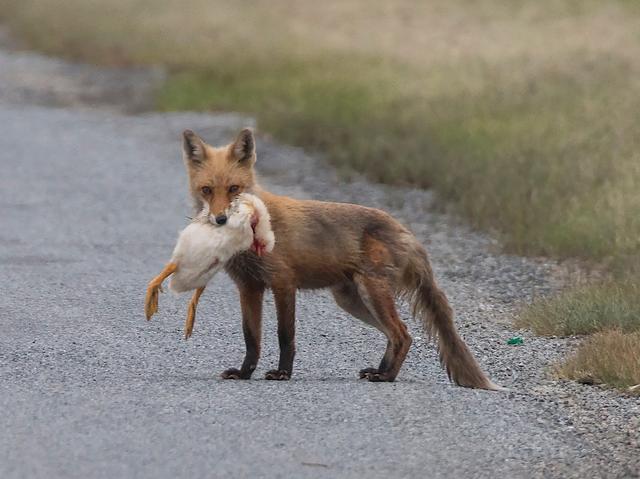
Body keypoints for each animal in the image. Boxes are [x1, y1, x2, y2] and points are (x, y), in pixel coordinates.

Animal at [179, 128, 500, 390]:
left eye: (234, 188)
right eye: (207, 190)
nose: (220, 219)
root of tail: (405, 230)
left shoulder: (283, 283)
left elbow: (285, 335)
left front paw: (283, 374)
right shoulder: (249, 286)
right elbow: (251, 338)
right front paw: (245, 373)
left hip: (371, 292)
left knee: (402, 333)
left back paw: (386, 377)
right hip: (352, 300)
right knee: (398, 335)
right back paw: (380, 371)